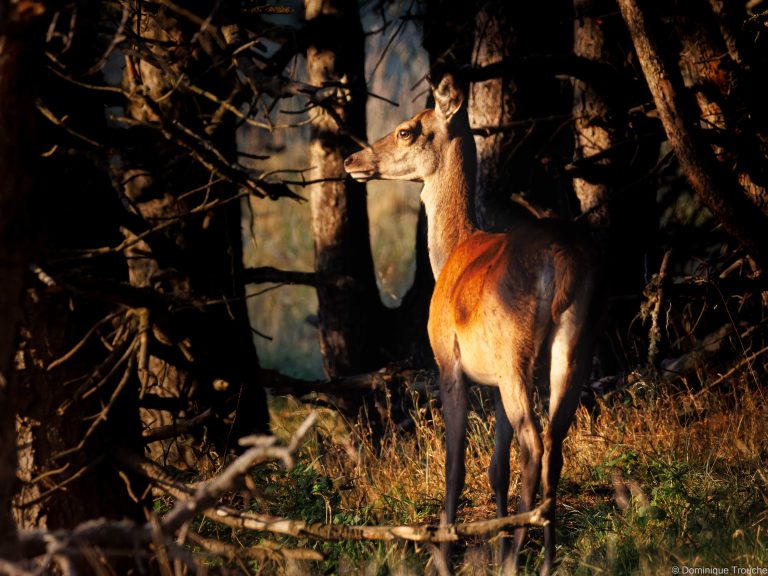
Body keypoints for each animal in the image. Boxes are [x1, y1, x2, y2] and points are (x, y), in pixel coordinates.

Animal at [343, 72, 602, 574]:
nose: (351, 159)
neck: (451, 252)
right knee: (555, 441)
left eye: (406, 130)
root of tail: (561, 261)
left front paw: (446, 552)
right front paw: (496, 543)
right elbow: (496, 467)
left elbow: (455, 464)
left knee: (534, 443)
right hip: (573, 343)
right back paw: (544, 556)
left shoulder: (447, 361)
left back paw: (518, 554)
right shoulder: (494, 385)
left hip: (514, 349)